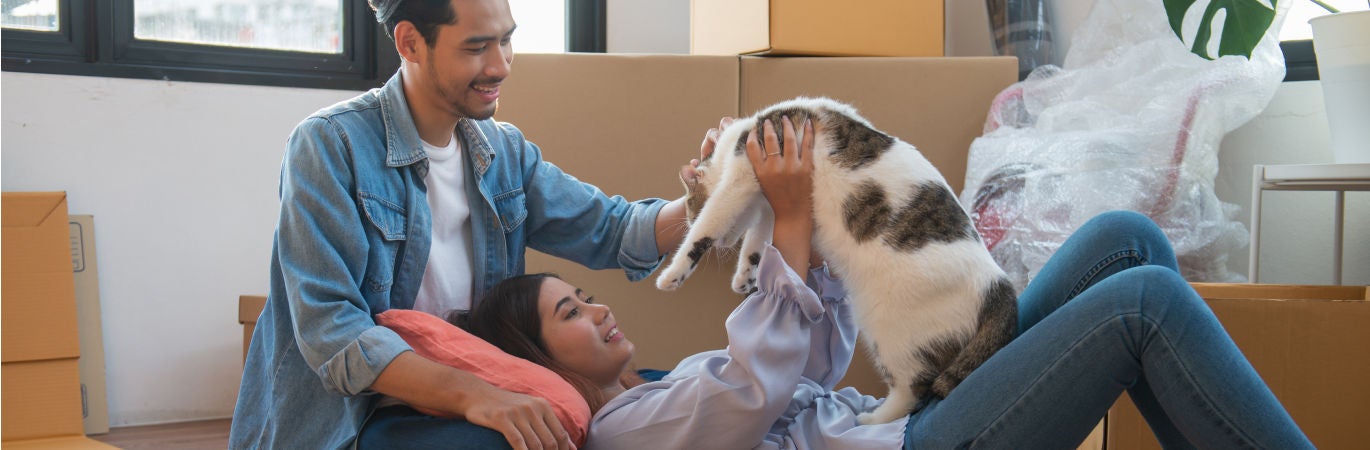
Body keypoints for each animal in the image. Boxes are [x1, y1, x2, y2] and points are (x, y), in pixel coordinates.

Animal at [652, 96, 1019, 422]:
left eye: (691, 208)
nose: (725, 243)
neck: (744, 134)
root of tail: (999, 285)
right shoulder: (769, 204)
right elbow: (758, 238)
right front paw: (746, 274)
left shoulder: (741, 180)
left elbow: (706, 229)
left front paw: (674, 274)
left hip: (890, 331)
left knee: (912, 388)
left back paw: (870, 420)